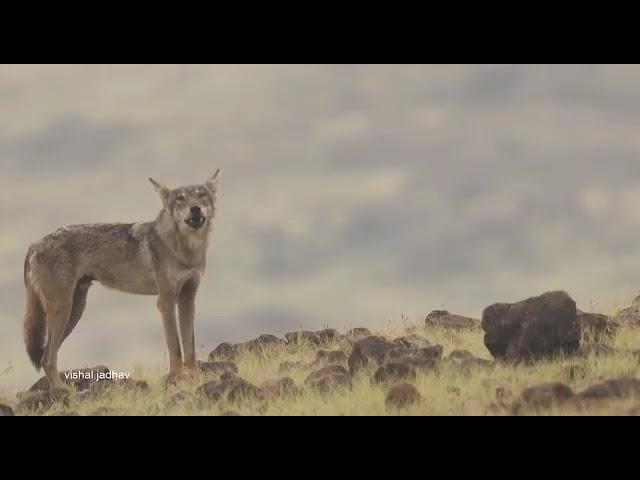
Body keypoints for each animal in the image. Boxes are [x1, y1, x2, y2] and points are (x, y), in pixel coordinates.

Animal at [22, 171, 221, 388]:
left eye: (201, 195)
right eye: (180, 199)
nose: (195, 209)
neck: (185, 252)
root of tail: (35, 244)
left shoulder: (187, 299)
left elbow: (189, 346)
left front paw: (194, 380)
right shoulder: (166, 301)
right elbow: (175, 346)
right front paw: (177, 380)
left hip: (74, 310)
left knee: (47, 355)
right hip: (63, 310)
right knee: (47, 358)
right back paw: (63, 391)